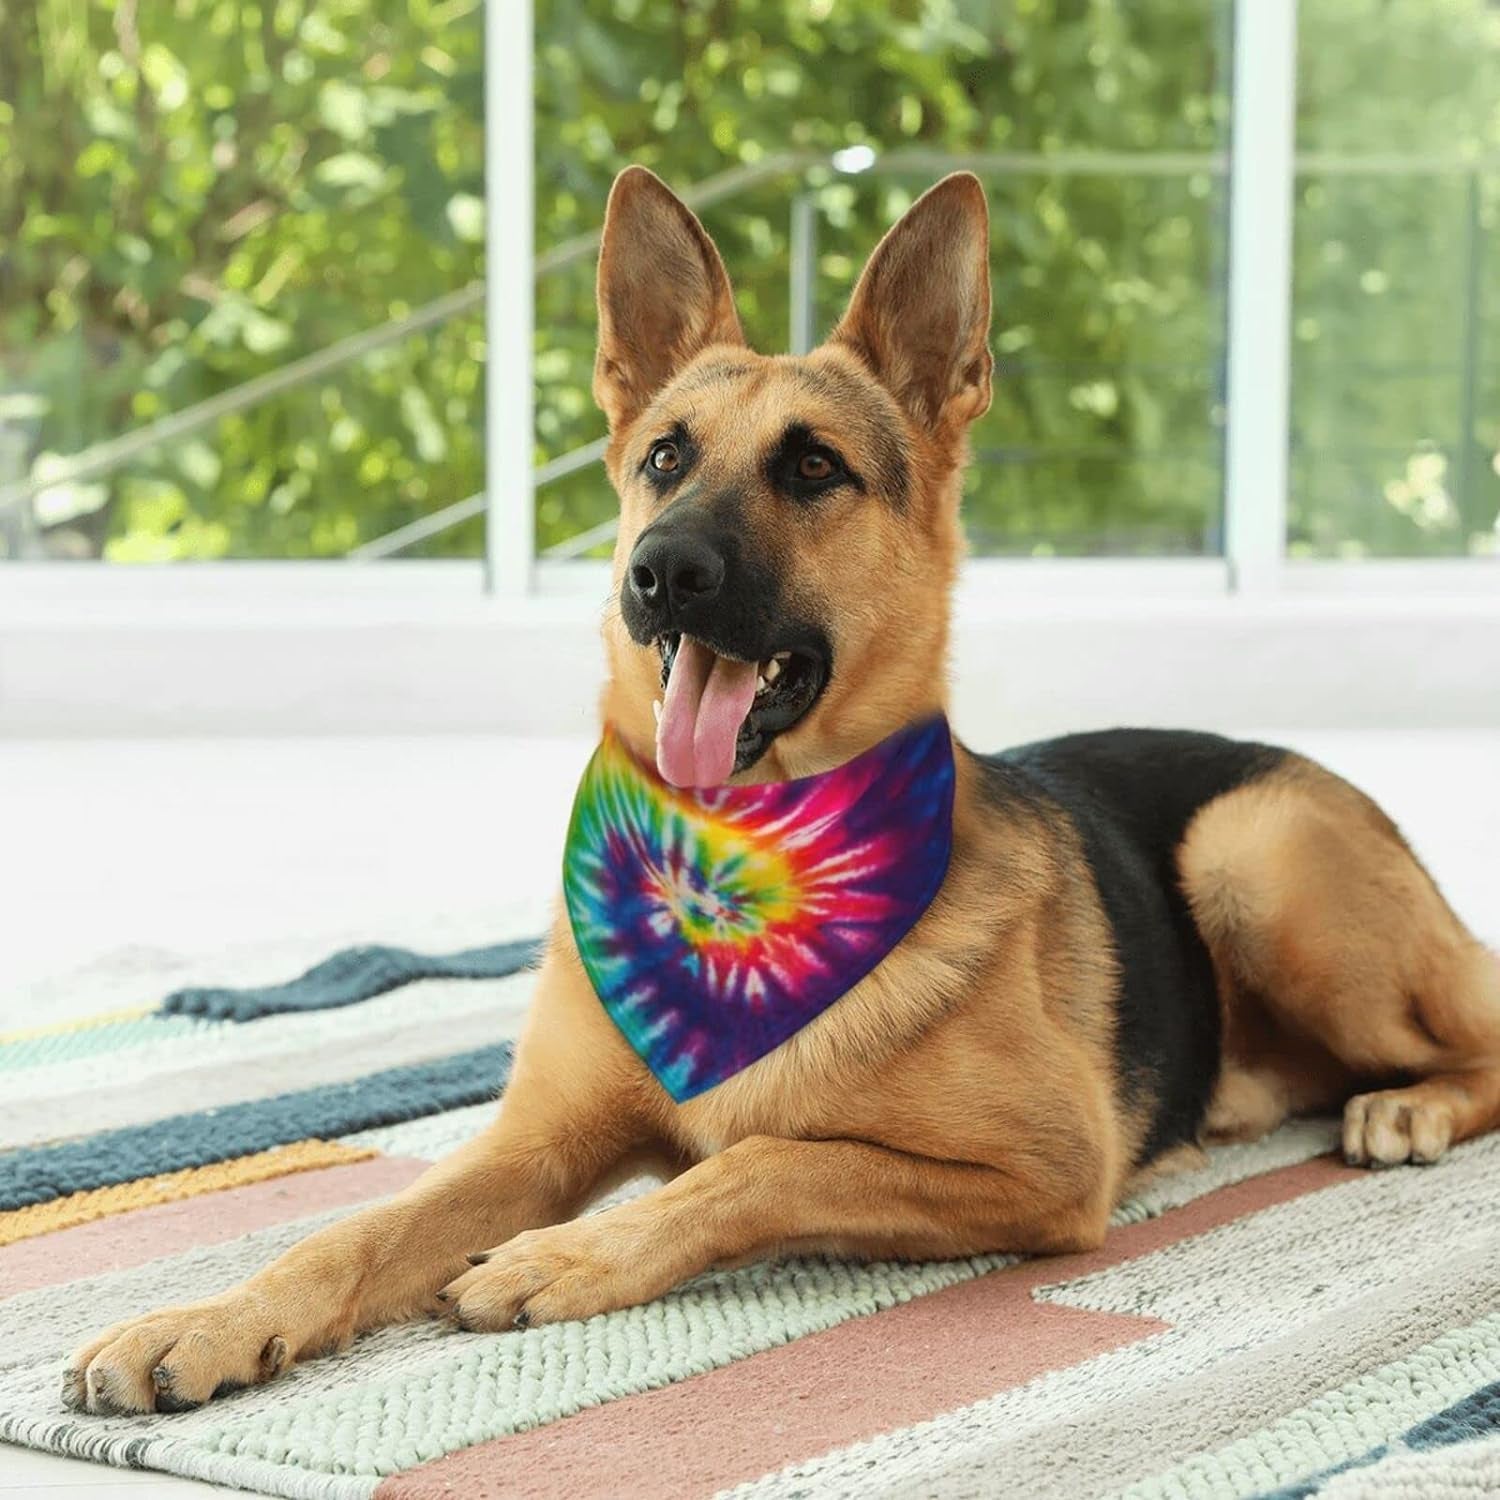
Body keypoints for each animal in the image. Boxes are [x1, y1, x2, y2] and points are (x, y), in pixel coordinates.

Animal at [64, 170, 1494, 1410]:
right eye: (662, 458)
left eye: (813, 469)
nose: (661, 572)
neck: (743, 860)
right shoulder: (537, 1142)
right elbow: (354, 1230)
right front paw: (206, 1319)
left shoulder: (1049, 1164)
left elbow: (760, 1159)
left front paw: (559, 1257)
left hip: (1253, 850)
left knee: (1475, 1039)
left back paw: (1409, 1108)